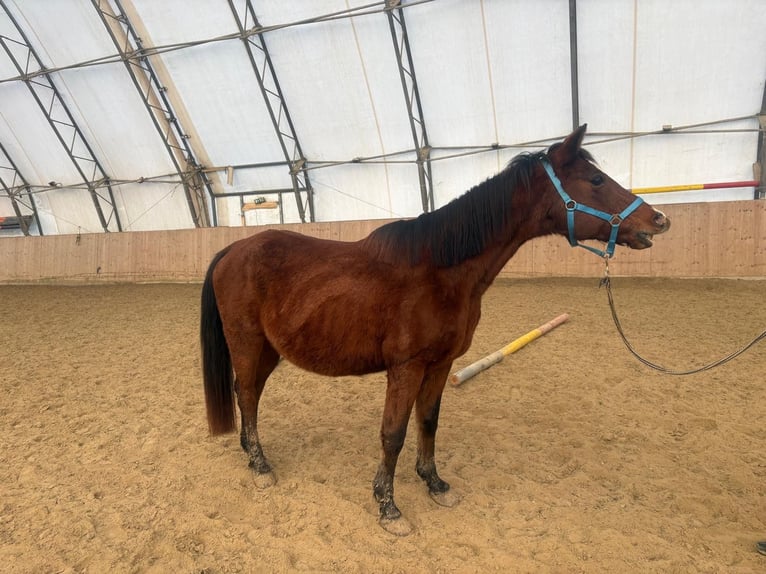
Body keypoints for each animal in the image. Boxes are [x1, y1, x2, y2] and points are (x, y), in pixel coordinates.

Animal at [200, 125, 670, 536]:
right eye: (596, 179)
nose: (659, 220)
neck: (441, 270)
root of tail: (230, 250)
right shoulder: (405, 368)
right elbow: (393, 434)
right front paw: (388, 507)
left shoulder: (441, 364)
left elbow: (429, 421)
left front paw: (434, 483)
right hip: (248, 344)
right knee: (248, 395)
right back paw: (261, 466)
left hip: (269, 350)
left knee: (248, 394)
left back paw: (250, 454)